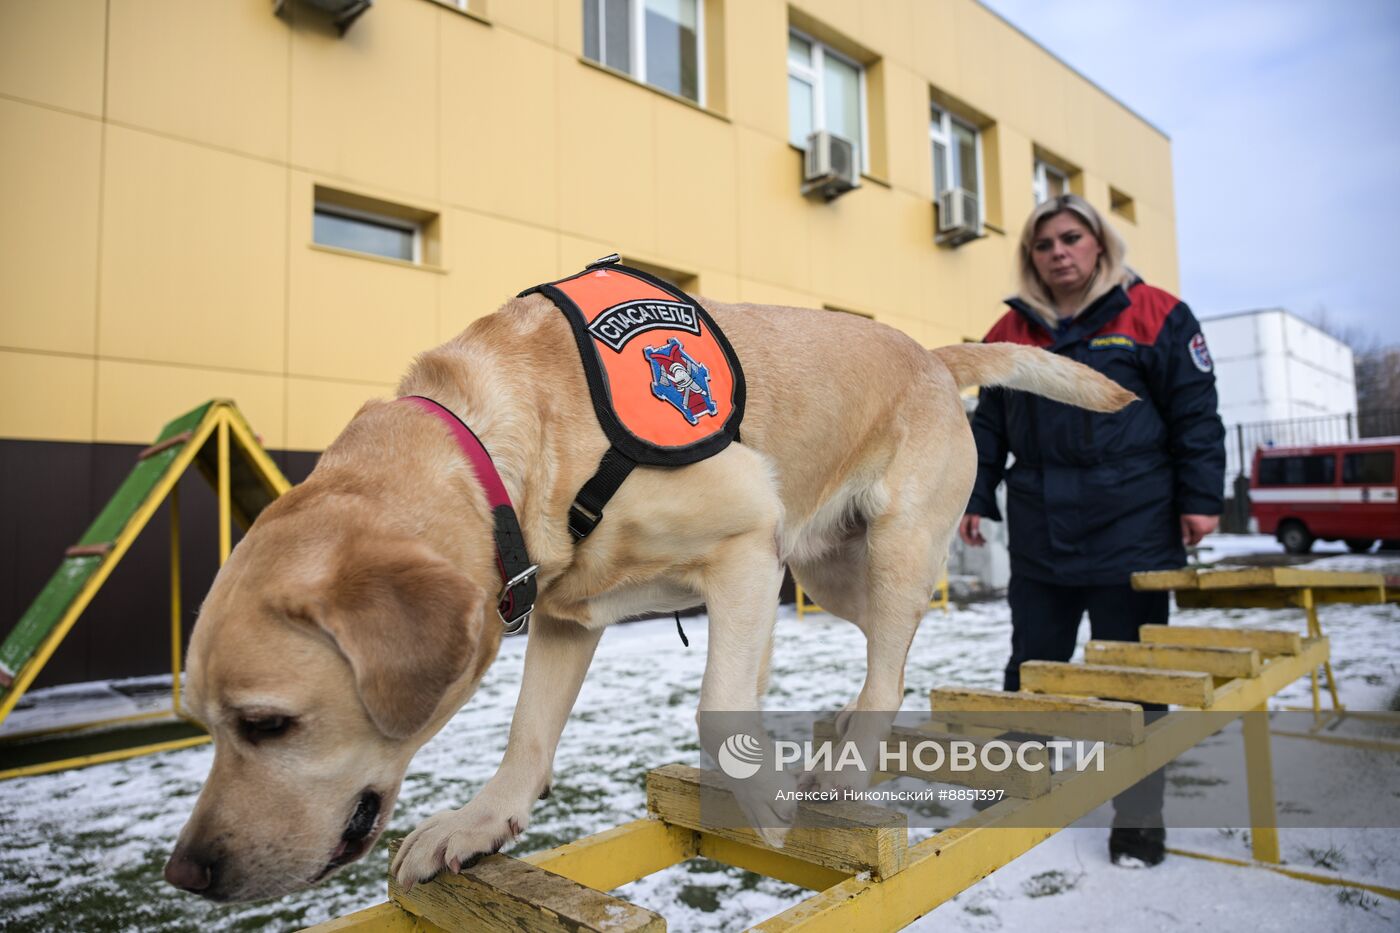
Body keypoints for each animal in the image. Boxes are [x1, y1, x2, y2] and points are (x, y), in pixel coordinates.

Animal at [163, 288, 1131, 896]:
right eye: (208, 724)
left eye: (268, 723)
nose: (187, 874)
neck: (504, 446)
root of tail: (928, 353)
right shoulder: (565, 613)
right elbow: (527, 734)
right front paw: (481, 822)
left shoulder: (746, 544)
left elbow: (714, 701)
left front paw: (758, 795)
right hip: (825, 567)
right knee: (885, 655)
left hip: (886, 547)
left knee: (890, 664)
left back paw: (845, 760)